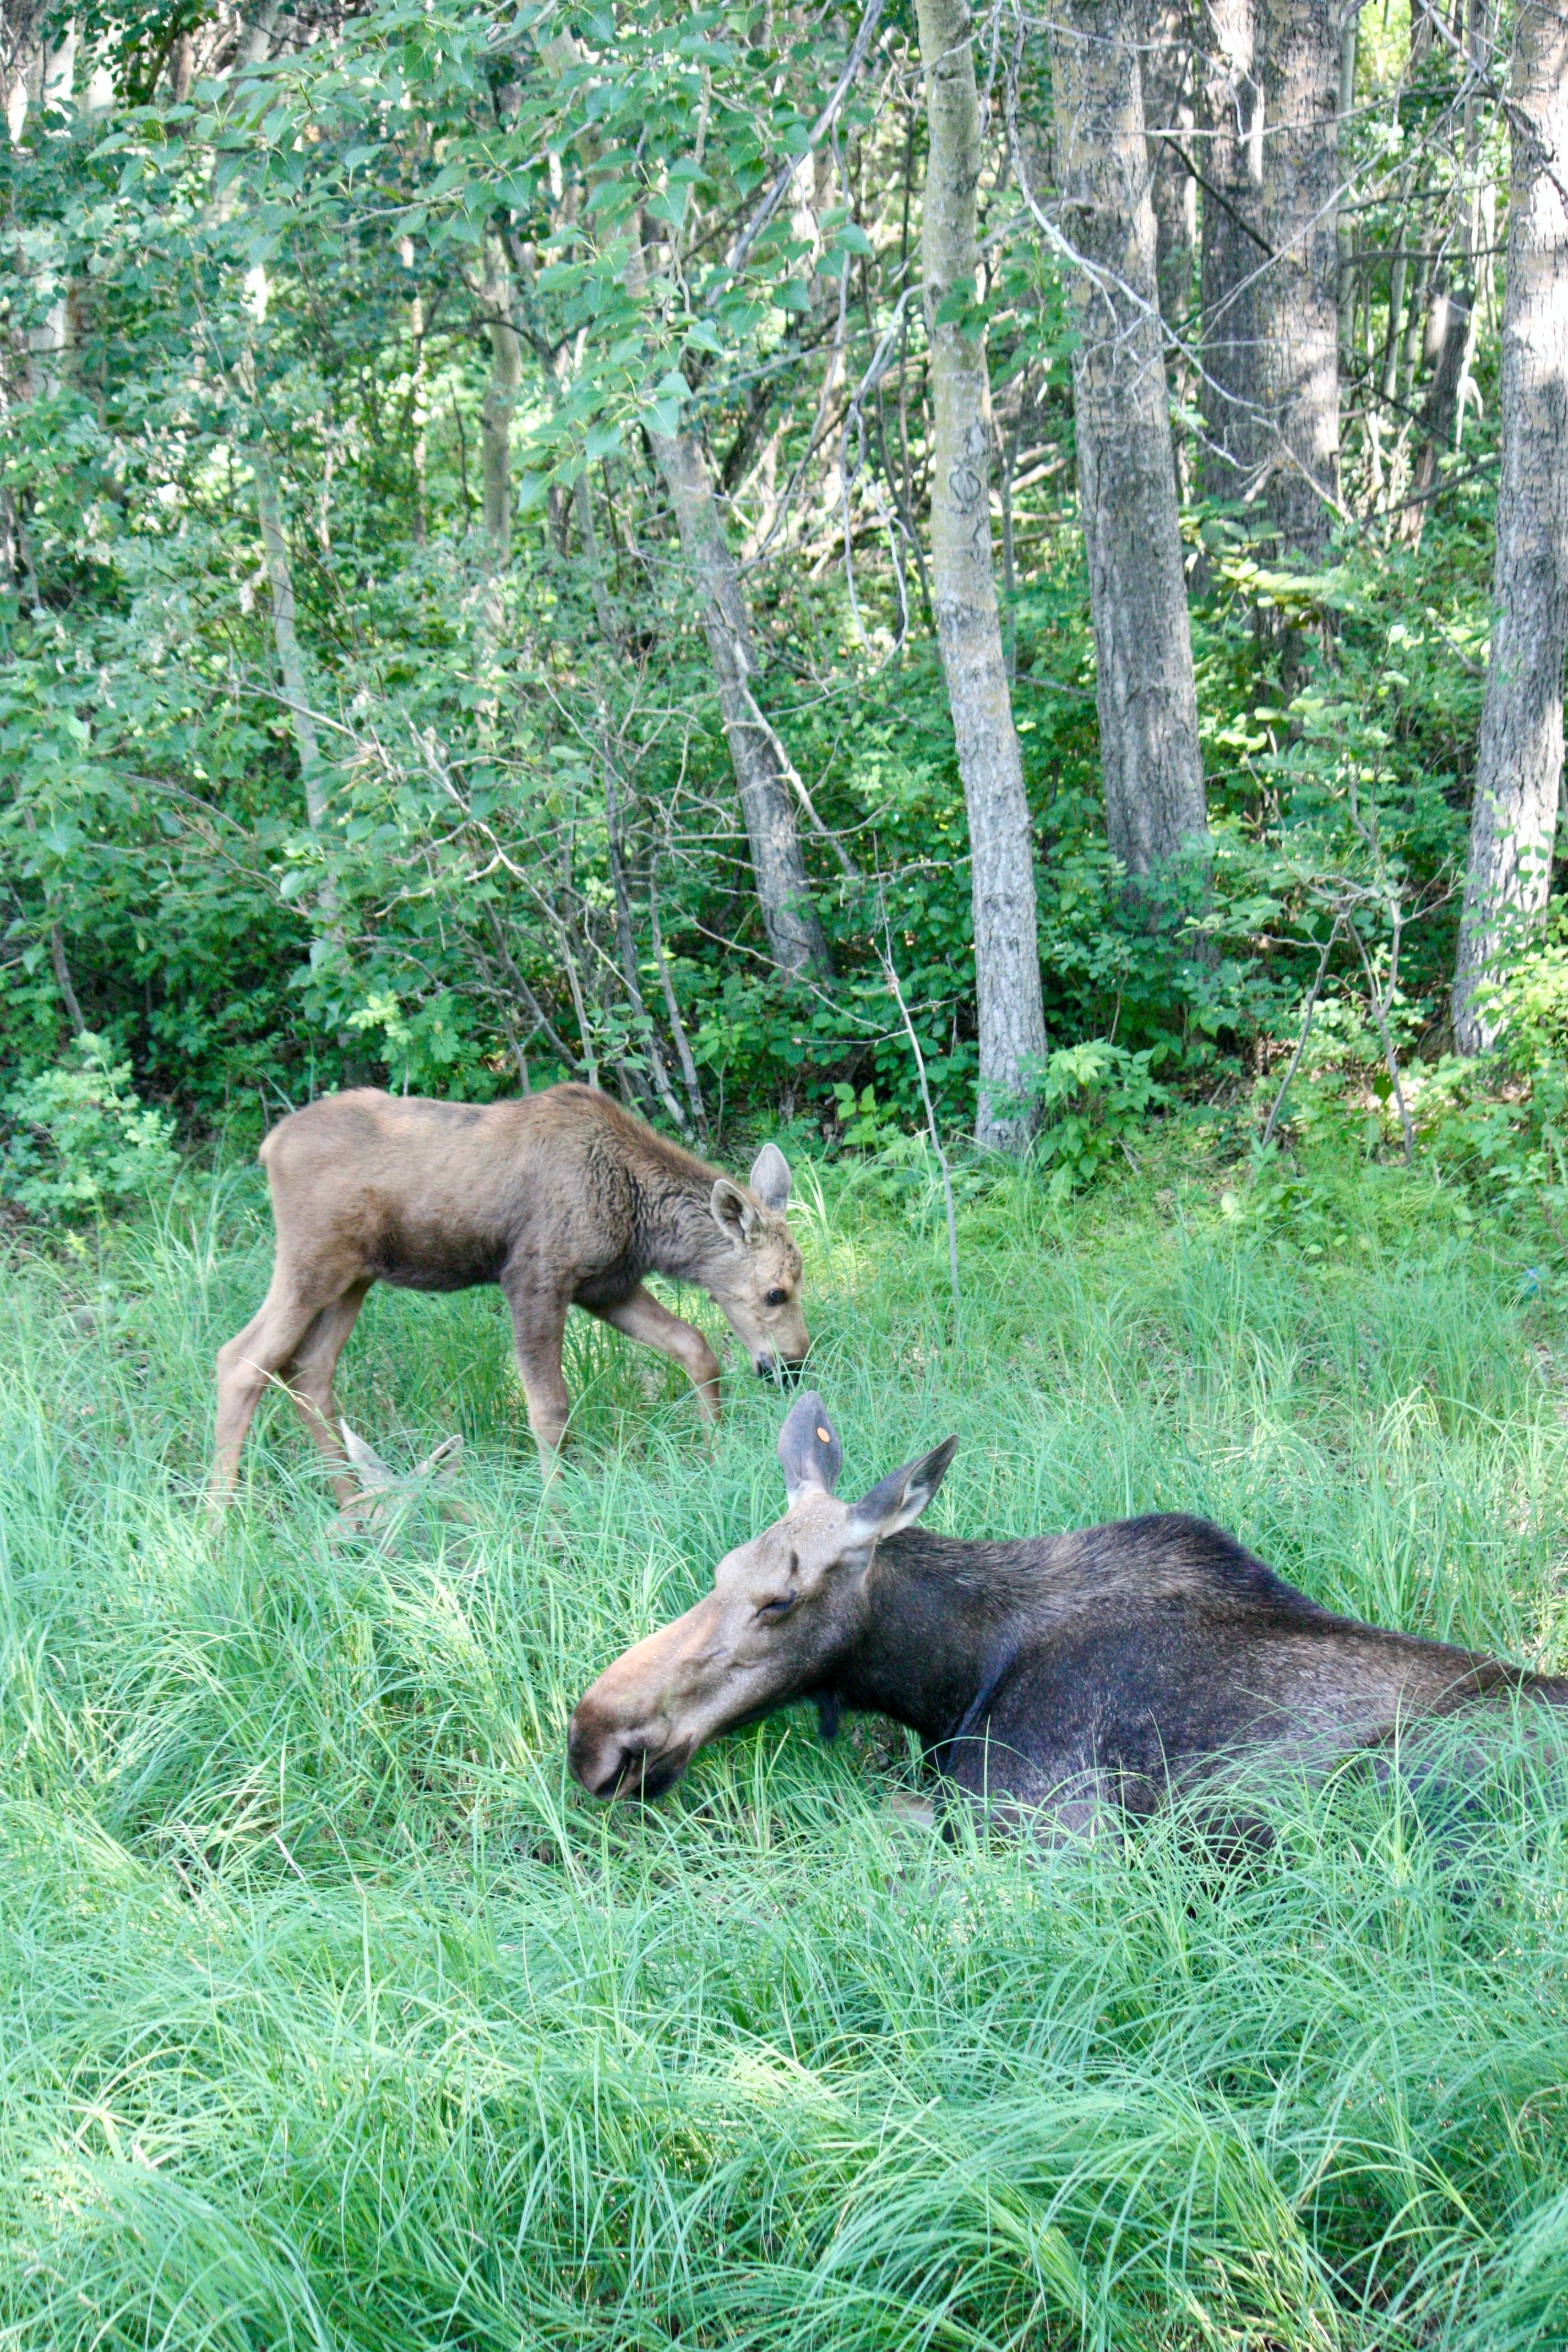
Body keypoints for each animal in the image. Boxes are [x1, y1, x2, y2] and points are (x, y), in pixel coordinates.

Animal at [210, 1084, 809, 1509]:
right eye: (774, 1292)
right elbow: (549, 1406)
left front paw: (715, 1452)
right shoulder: (534, 1276)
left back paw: (353, 1507)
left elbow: (696, 1349)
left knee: (307, 1368)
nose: (793, 1367)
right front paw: (555, 1516)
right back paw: (216, 1535)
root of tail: (269, 1147)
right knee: (239, 1359)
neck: (641, 1221)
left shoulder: (606, 1286)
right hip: (310, 1263)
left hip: (352, 1279)